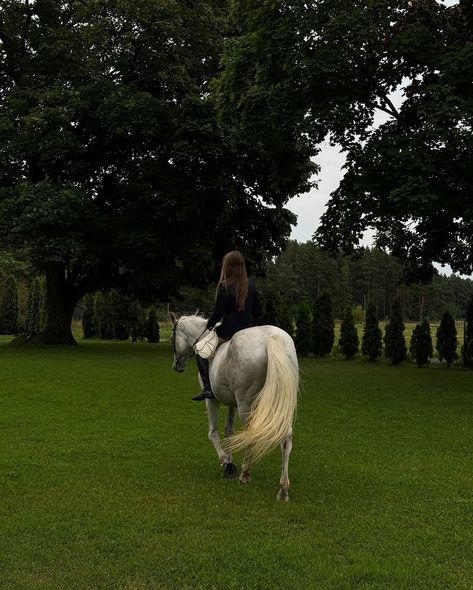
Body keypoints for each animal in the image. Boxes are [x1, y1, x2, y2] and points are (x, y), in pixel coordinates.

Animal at [170, 316, 296, 502]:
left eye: (172, 338)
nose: (176, 366)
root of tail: (272, 337)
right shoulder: (232, 403)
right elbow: (229, 431)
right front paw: (229, 460)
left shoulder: (211, 400)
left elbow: (213, 433)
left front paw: (226, 463)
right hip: (278, 403)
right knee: (285, 439)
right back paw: (283, 490)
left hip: (246, 403)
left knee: (251, 432)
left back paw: (245, 475)